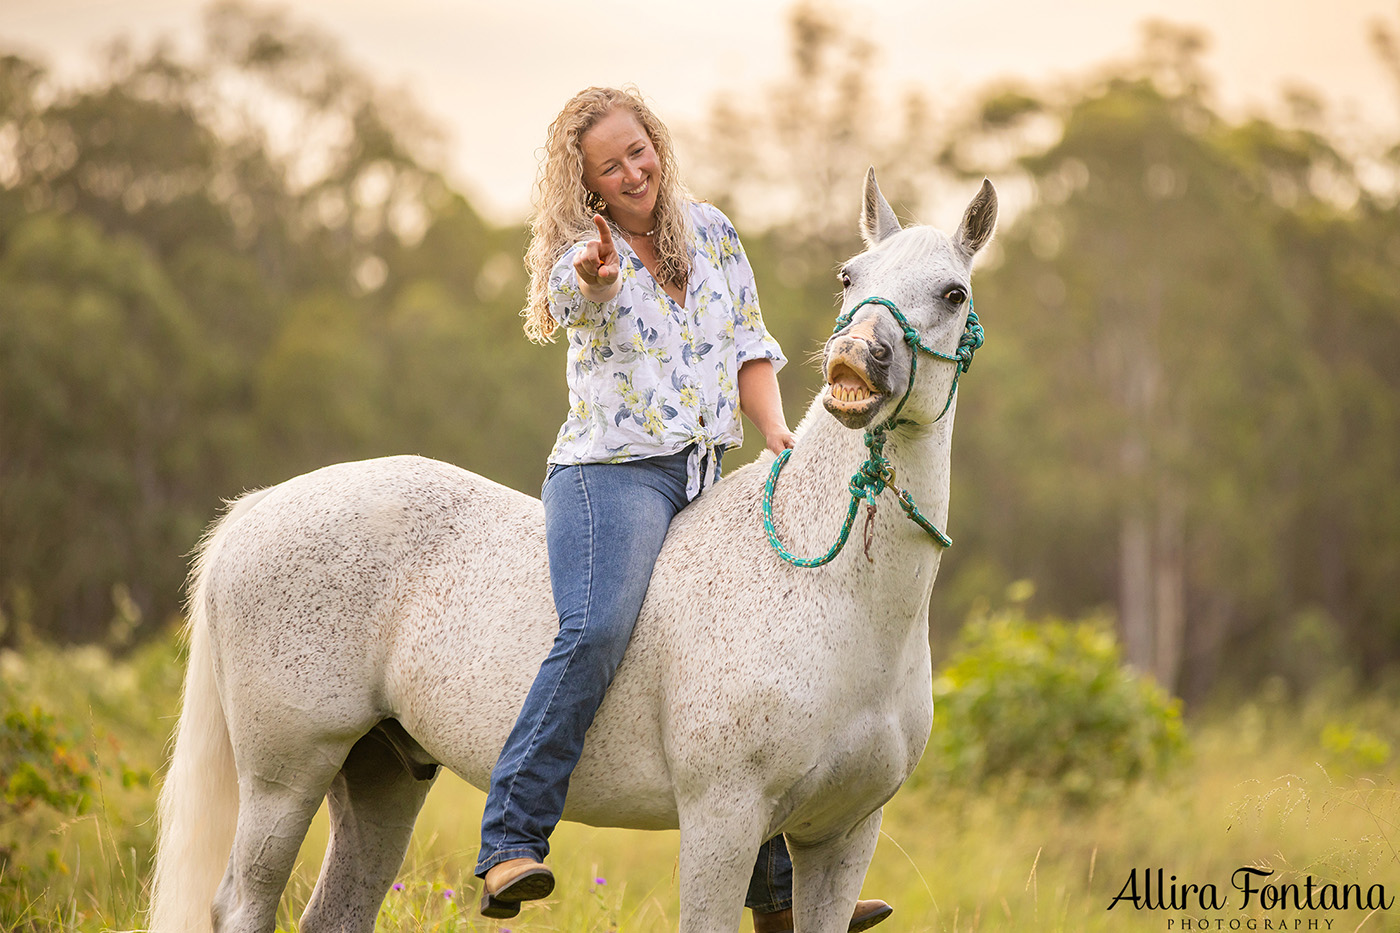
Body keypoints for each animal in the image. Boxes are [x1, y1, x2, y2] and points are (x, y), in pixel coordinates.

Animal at [150, 170, 996, 930]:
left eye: (953, 293)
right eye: (850, 276)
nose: (856, 360)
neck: (827, 596)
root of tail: (258, 508)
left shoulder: (841, 834)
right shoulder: (722, 818)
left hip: (381, 773)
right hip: (285, 774)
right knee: (241, 903)